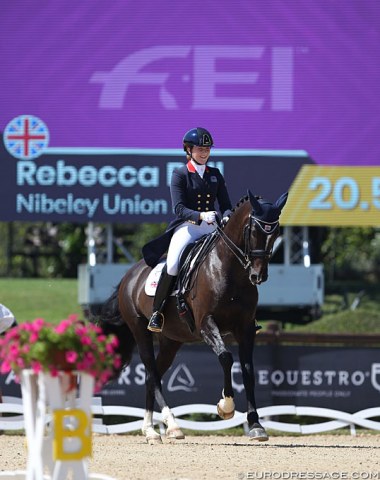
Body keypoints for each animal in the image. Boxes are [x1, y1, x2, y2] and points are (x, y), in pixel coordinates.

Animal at [98, 190, 288, 442]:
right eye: (254, 231)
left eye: (275, 233)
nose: (258, 275)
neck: (230, 269)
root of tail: (130, 275)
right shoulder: (206, 324)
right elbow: (226, 358)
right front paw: (225, 407)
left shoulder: (246, 328)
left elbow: (248, 370)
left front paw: (256, 424)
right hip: (140, 329)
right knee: (152, 373)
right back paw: (171, 426)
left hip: (171, 340)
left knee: (151, 375)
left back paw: (150, 430)